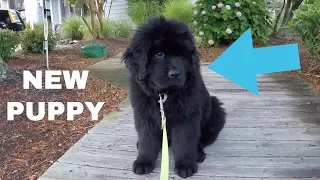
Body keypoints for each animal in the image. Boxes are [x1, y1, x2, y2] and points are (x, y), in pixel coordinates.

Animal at [121, 15, 226, 179]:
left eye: (182, 55)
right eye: (159, 54)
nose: (175, 74)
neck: (164, 94)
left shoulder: (186, 115)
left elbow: (184, 140)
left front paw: (185, 165)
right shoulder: (144, 115)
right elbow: (146, 139)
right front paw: (143, 161)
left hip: (216, 110)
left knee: (202, 139)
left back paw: (198, 153)